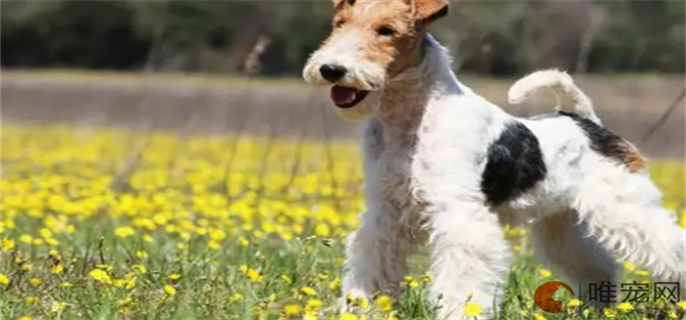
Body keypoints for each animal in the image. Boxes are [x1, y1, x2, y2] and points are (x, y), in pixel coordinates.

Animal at [302, 1, 686, 318]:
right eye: (339, 23)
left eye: (387, 30)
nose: (332, 69)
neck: (411, 116)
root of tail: (586, 121)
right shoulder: (386, 214)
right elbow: (372, 262)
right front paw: (360, 307)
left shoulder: (460, 215)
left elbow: (462, 279)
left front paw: (460, 313)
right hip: (562, 223)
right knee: (597, 266)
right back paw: (596, 308)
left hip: (625, 207)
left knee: (669, 246)